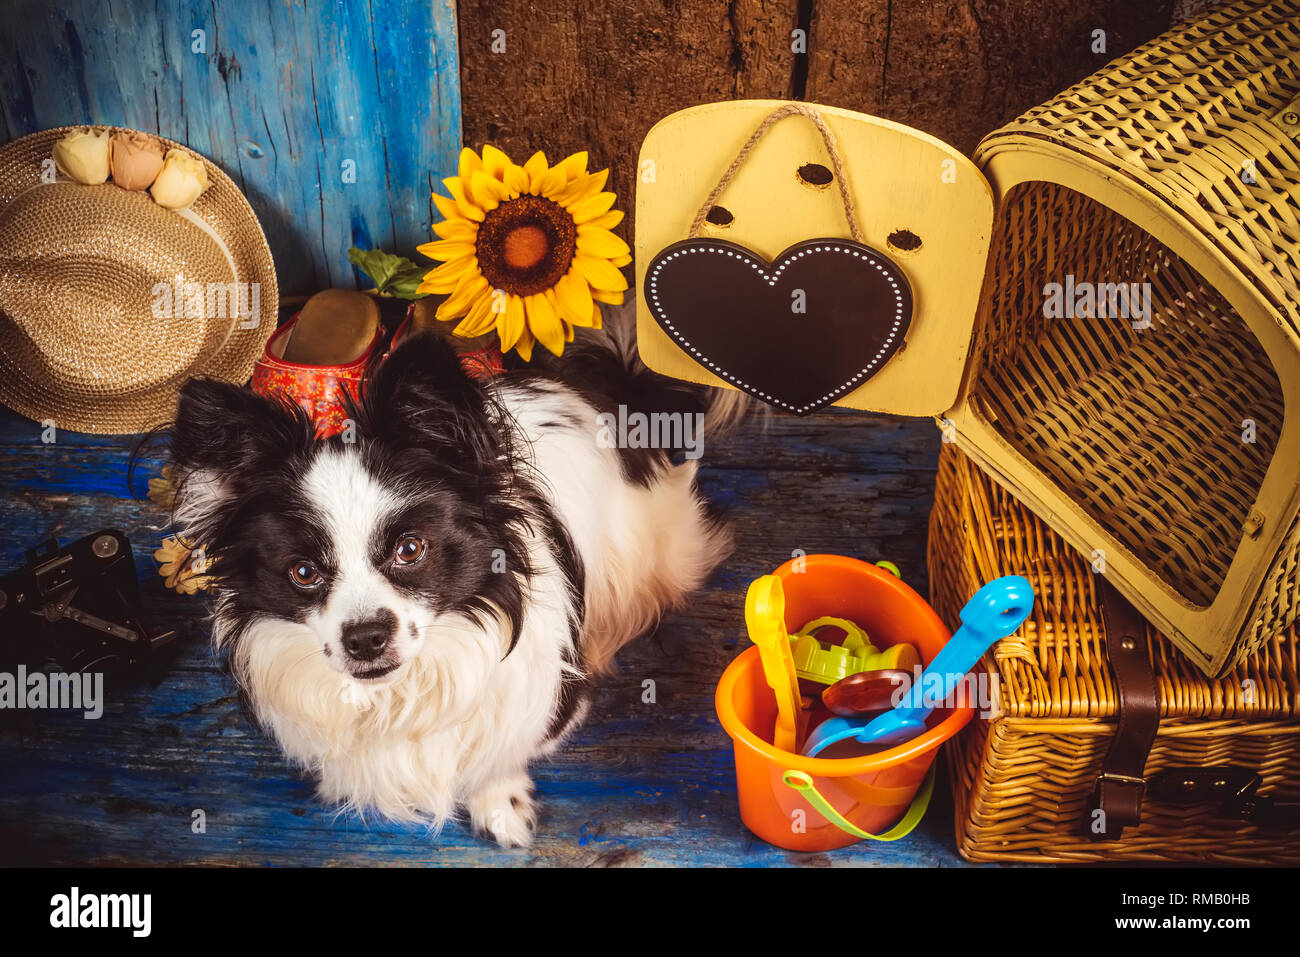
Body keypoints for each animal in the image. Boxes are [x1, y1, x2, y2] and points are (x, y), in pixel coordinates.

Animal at [165, 323, 733, 842]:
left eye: (410, 549)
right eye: (304, 573)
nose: (366, 637)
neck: (400, 695)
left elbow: (503, 755)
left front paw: (500, 806)